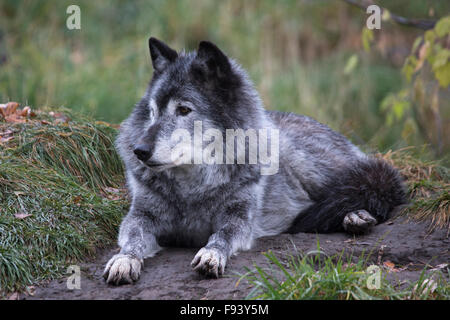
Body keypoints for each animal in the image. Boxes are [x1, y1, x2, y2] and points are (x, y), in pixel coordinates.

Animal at [103, 38, 408, 284]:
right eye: (153, 111)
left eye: (184, 110)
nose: (140, 150)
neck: (193, 188)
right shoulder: (140, 216)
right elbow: (133, 239)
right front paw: (124, 260)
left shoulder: (239, 217)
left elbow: (223, 235)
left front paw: (211, 254)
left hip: (306, 163)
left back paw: (355, 215)